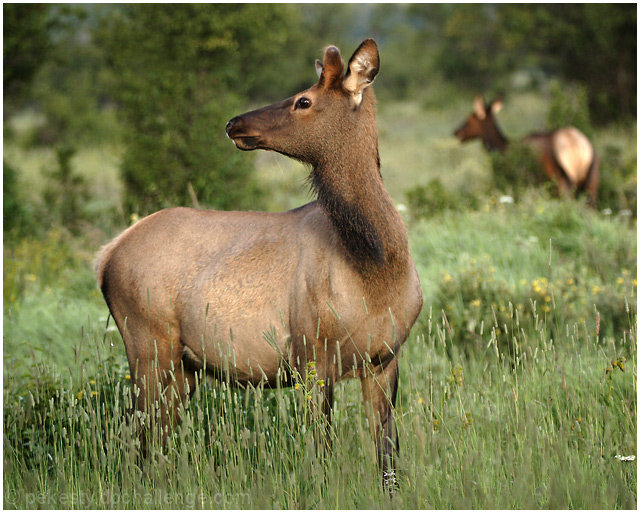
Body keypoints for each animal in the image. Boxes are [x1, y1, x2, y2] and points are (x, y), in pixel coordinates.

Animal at [95, 39, 422, 488]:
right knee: (138, 441)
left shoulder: (386, 359)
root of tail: (106, 254)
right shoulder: (311, 355)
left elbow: (388, 459)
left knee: (154, 442)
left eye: (304, 100)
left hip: (182, 367)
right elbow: (322, 454)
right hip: (147, 345)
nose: (233, 122)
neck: (375, 268)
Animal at [452, 96, 596, 204]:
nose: (456, 132)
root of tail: (574, 142)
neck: (503, 148)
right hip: (592, 179)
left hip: (561, 179)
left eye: (469, 119)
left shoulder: (518, 180)